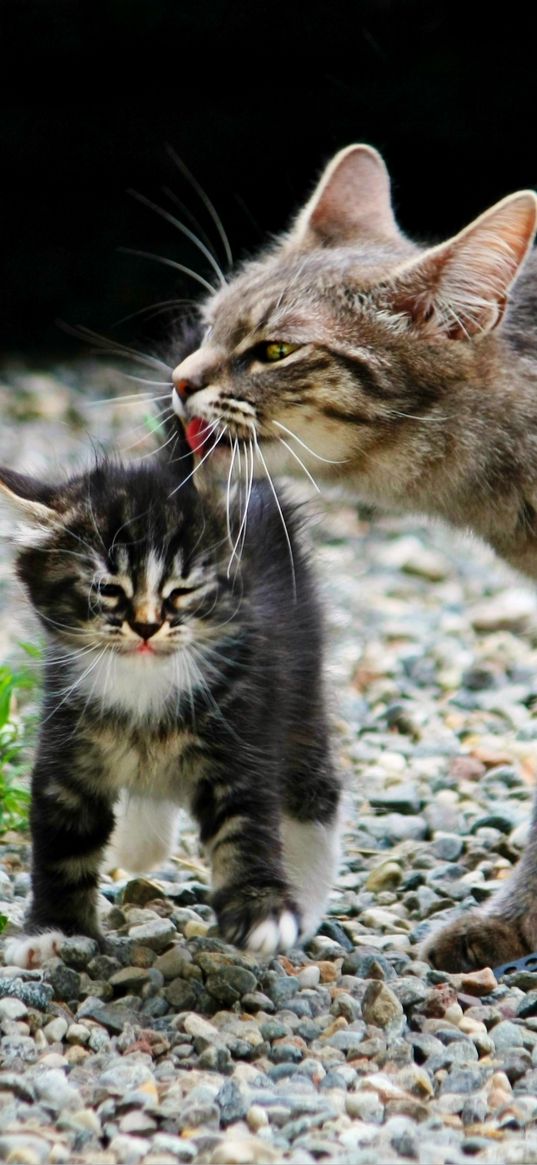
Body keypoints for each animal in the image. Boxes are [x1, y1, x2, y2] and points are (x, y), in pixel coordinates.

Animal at [1, 440, 340, 969]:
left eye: (181, 591)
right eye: (107, 589)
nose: (145, 626)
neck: (145, 689)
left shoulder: (245, 738)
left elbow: (246, 828)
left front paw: (260, 911)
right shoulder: (65, 752)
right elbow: (61, 848)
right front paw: (53, 930)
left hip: (302, 691)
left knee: (315, 790)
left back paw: (306, 891)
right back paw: (140, 843)